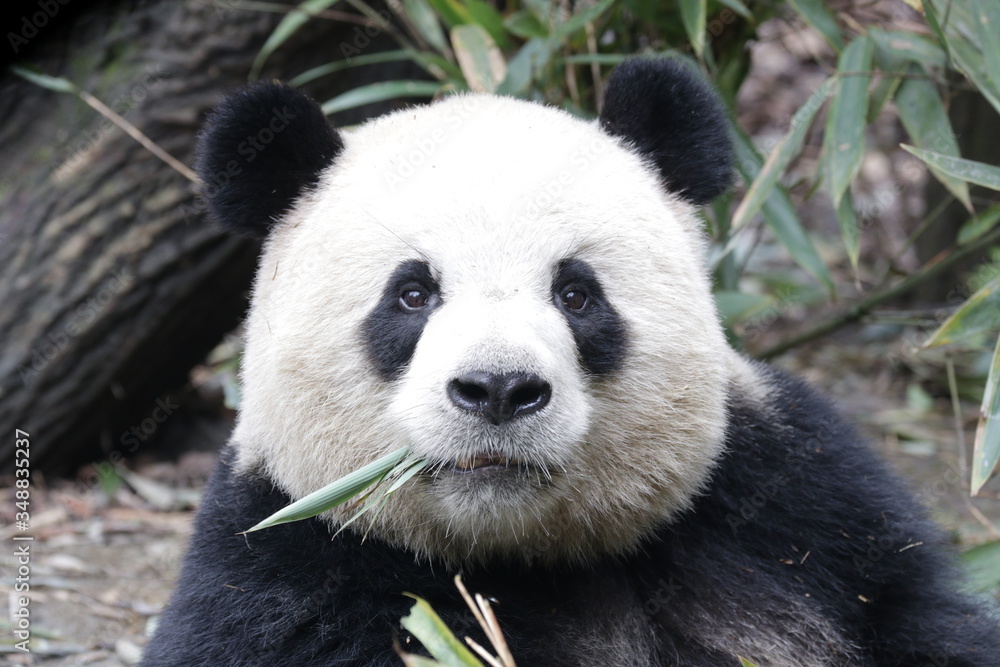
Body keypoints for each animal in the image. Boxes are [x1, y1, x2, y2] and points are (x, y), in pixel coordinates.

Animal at [141, 60, 1000, 664]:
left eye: (576, 293)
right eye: (412, 294)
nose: (498, 389)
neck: (530, 556)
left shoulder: (795, 514)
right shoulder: (285, 575)